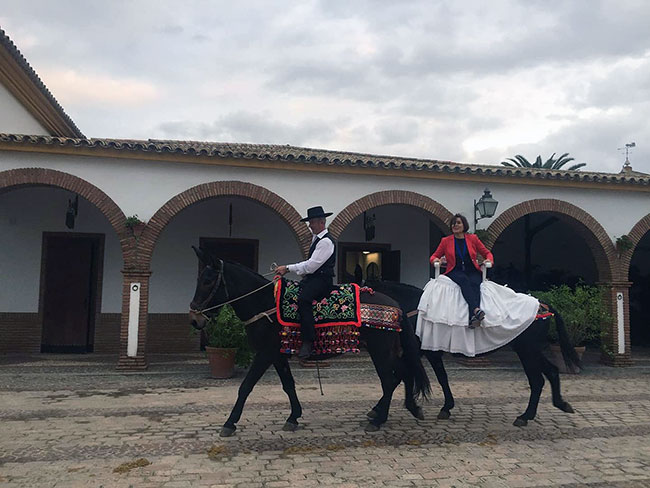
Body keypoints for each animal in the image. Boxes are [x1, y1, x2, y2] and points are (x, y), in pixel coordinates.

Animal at [189, 250, 430, 436]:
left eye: (208, 281)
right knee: (404, 373)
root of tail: (396, 305)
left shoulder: (265, 354)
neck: (265, 305)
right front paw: (293, 417)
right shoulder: (277, 354)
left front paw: (229, 423)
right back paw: (406, 409)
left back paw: (378, 420)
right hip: (385, 350)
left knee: (390, 381)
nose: (194, 319)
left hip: (381, 350)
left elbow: (246, 386)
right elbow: (288, 385)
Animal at [364, 280, 576, 426]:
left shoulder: (418, 352)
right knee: (551, 371)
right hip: (531, 350)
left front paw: (378, 409)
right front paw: (446, 407)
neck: (415, 311)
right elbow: (442, 377)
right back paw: (559, 404)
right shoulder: (431, 353)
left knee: (537, 381)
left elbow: (399, 378)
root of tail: (543, 306)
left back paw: (525, 416)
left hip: (528, 351)